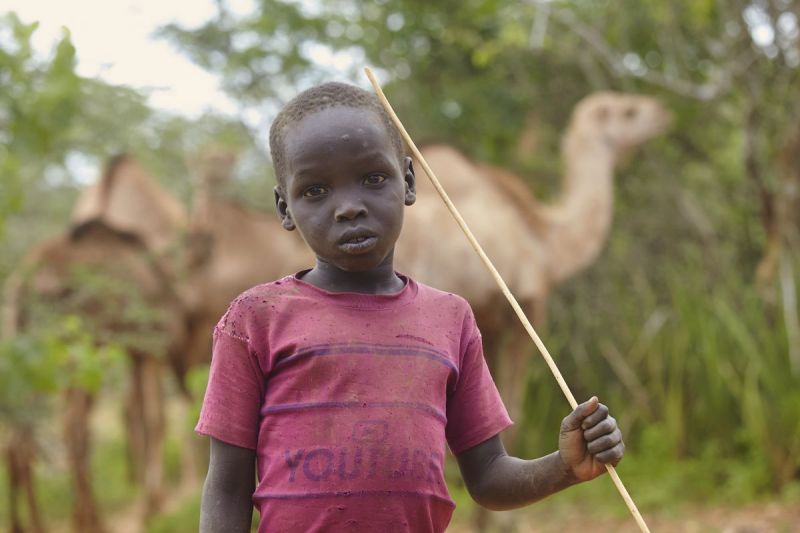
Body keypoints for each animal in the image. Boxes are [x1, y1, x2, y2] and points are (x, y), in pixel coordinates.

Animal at [2, 217, 186, 532]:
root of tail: (25, 283)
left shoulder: (133, 352)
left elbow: (136, 415)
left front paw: (151, 502)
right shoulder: (150, 348)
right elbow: (154, 420)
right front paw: (150, 507)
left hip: (35, 355)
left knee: (21, 436)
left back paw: (30, 523)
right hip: (72, 349)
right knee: (70, 425)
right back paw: (89, 520)